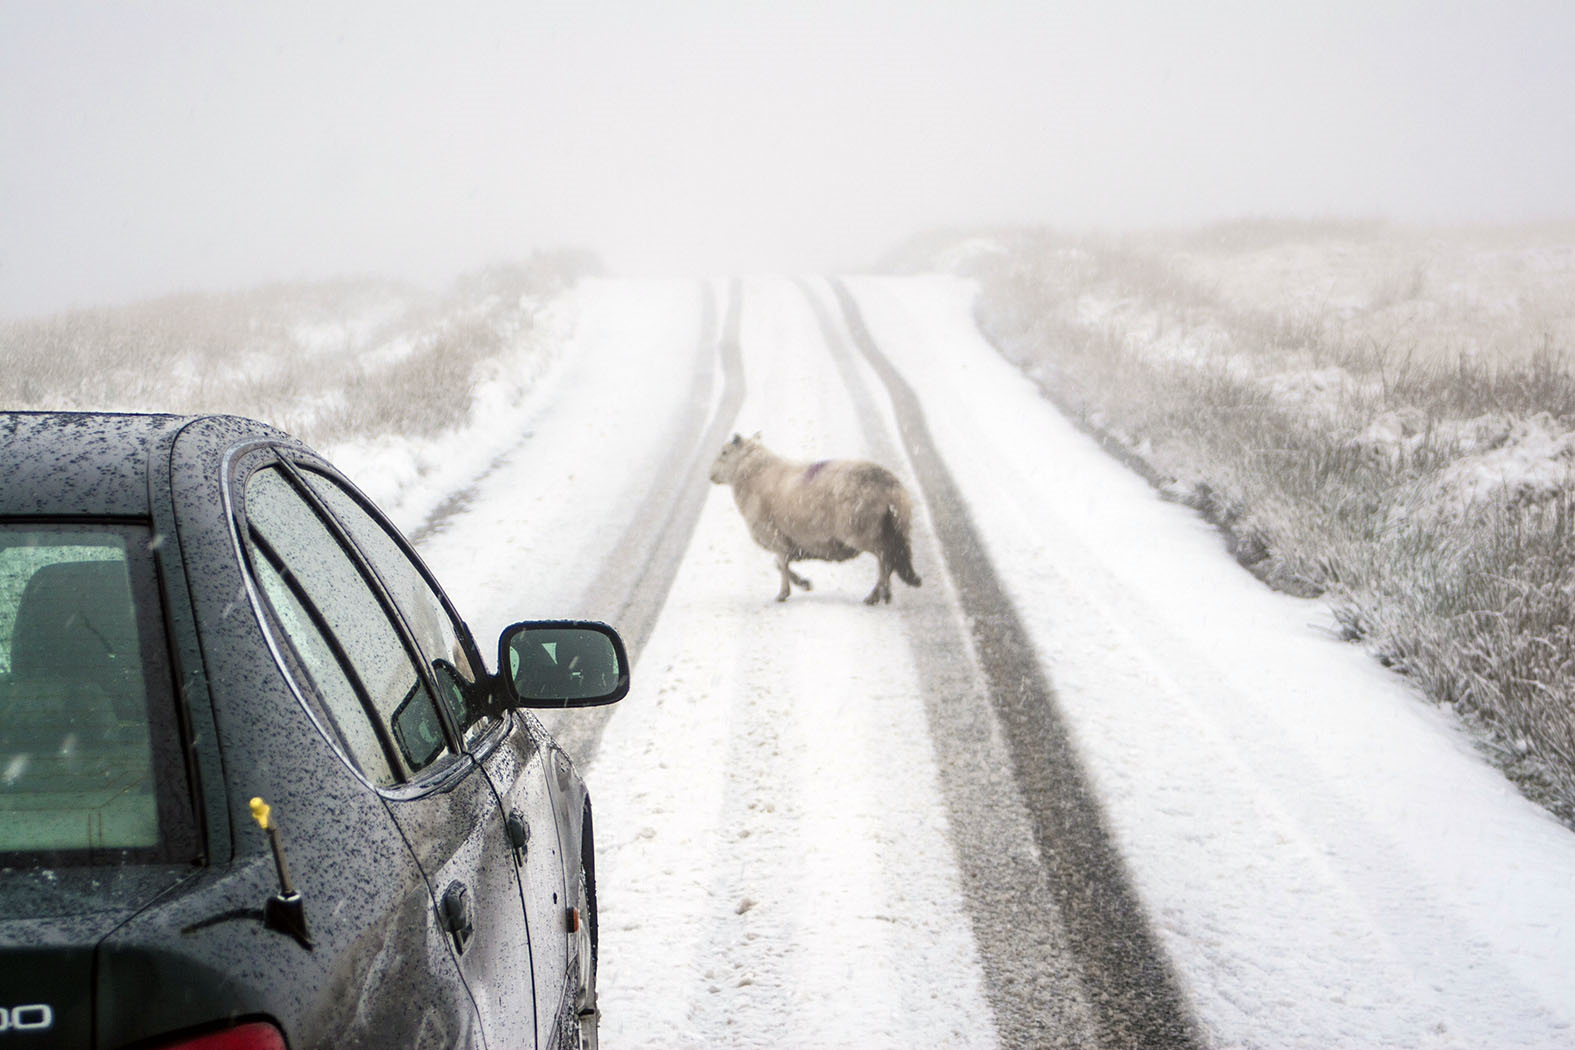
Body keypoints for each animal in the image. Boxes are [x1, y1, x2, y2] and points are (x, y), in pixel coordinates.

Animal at [705, 431, 919, 604]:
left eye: (724, 453)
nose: (710, 476)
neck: (752, 474)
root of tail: (890, 488)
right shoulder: (790, 542)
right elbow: (779, 564)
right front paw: (804, 584)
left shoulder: (775, 536)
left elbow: (781, 564)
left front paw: (784, 593)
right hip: (893, 528)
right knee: (890, 560)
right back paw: (885, 594)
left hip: (863, 531)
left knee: (886, 558)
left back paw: (875, 596)